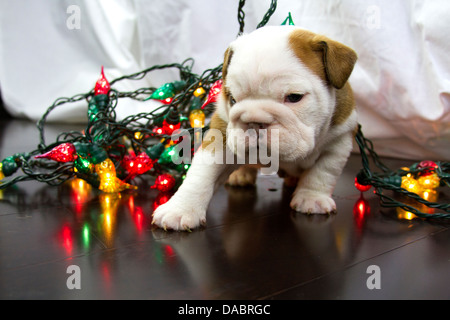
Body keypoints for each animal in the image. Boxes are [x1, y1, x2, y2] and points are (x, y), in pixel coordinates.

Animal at [153, 25, 356, 230]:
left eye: (294, 97)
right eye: (232, 99)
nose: (254, 122)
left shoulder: (339, 141)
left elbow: (322, 172)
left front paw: (312, 199)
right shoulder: (221, 134)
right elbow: (201, 174)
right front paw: (180, 209)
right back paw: (241, 175)